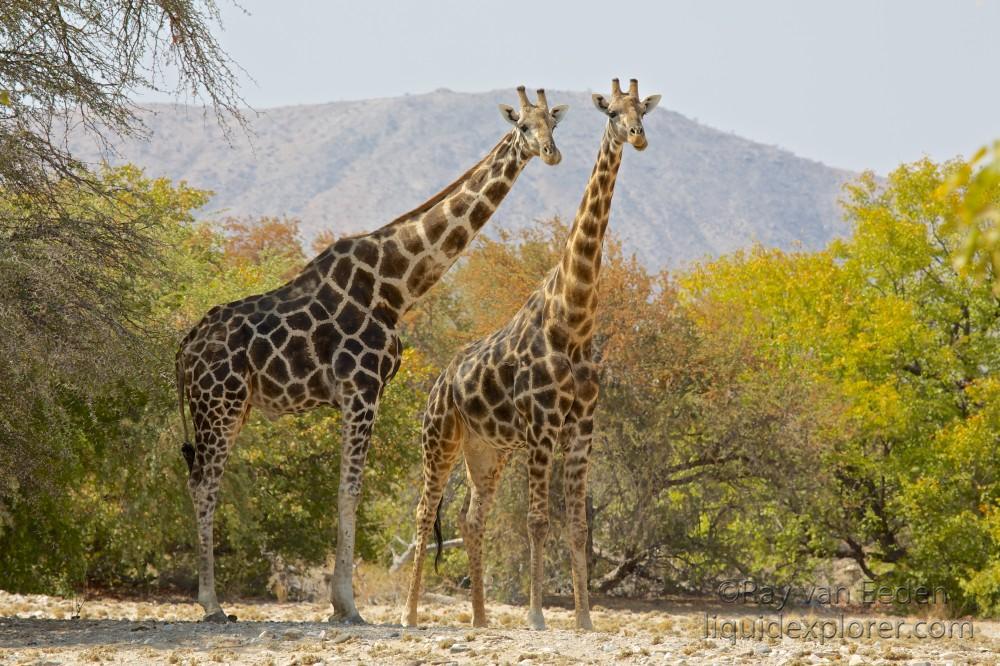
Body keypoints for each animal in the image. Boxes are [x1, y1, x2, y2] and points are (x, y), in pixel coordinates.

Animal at [176, 85, 568, 620]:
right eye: (523, 126)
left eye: (553, 122)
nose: (551, 153)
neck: (396, 286)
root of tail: (184, 349)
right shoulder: (361, 389)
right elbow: (350, 491)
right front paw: (347, 605)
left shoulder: (358, 394)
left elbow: (346, 490)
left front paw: (341, 603)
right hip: (221, 403)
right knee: (205, 484)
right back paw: (212, 604)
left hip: (229, 409)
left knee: (201, 479)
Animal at [402, 78, 660, 628]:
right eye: (612, 113)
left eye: (643, 112)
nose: (638, 137)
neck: (573, 322)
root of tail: (439, 381)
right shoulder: (542, 428)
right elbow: (538, 521)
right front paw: (538, 616)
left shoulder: (583, 429)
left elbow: (578, 526)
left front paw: (584, 619)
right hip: (440, 438)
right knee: (424, 510)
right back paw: (411, 617)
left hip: (488, 450)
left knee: (471, 517)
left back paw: (480, 619)